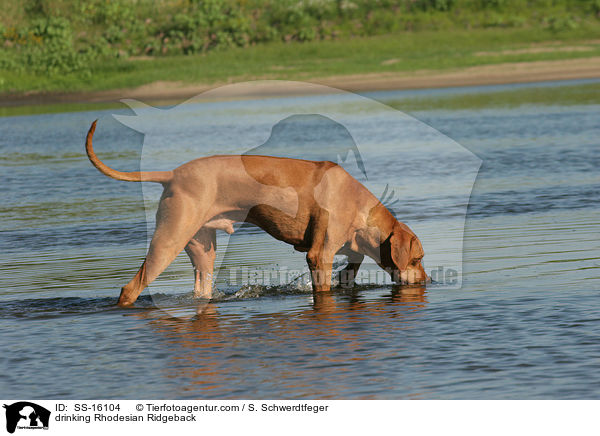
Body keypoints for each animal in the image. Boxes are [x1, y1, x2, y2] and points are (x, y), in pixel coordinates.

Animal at [85, 117, 426, 304]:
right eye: (418, 259)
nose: (425, 282)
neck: (356, 201)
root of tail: (172, 174)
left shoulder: (349, 248)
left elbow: (352, 267)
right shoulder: (320, 254)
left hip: (202, 249)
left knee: (201, 289)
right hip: (168, 240)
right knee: (130, 288)